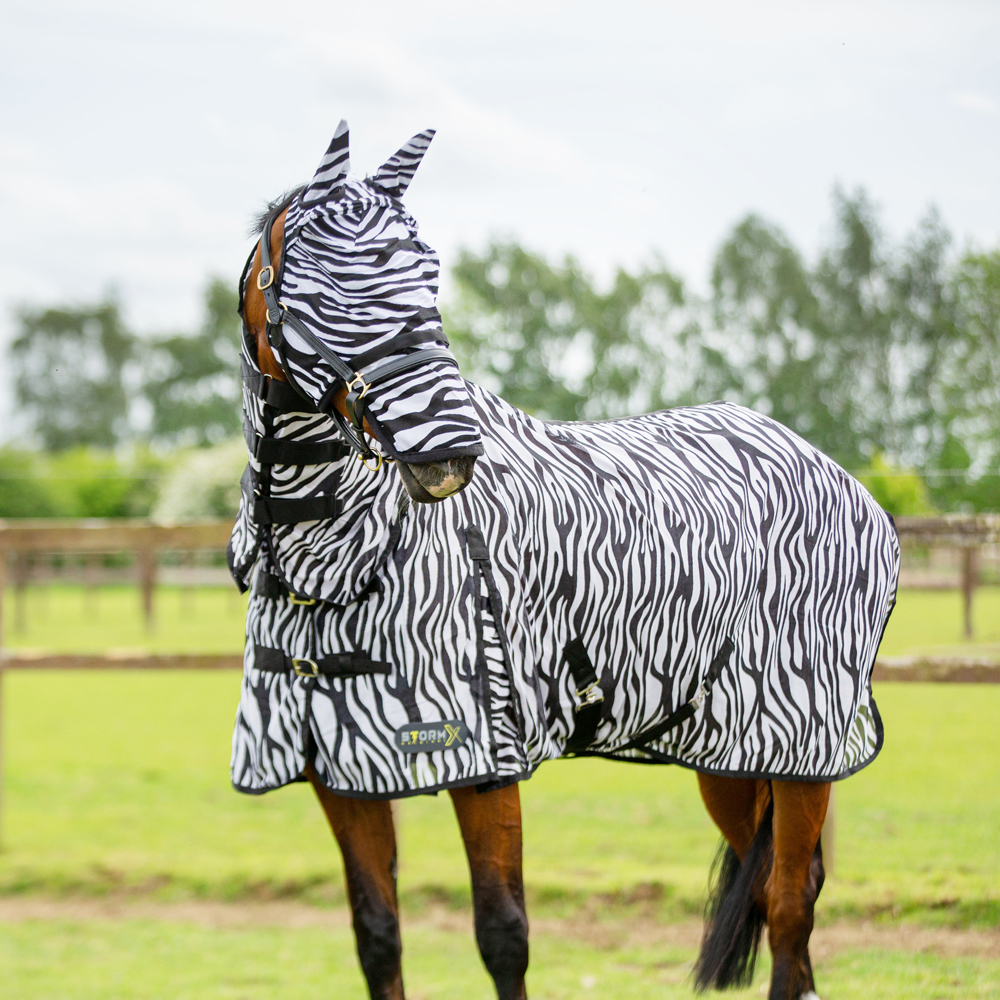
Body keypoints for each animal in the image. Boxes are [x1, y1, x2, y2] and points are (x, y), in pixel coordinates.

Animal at [229, 121, 899, 1000]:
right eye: (325, 281)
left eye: (428, 272)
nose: (449, 450)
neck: (334, 565)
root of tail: (829, 469)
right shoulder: (339, 773)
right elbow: (377, 936)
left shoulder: (485, 757)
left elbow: (502, 933)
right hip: (729, 753)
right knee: (778, 887)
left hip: (802, 745)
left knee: (790, 902)